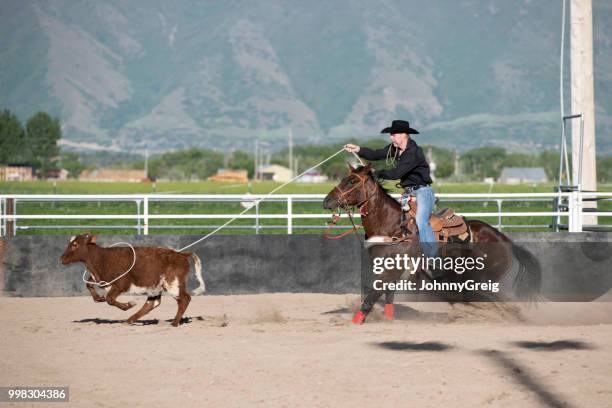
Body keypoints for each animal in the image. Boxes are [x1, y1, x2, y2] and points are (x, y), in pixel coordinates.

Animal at [61, 234, 207, 326]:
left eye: (74, 244)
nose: (61, 259)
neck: (102, 258)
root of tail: (181, 254)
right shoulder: (99, 280)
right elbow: (89, 285)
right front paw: (99, 298)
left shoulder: (120, 284)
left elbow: (110, 299)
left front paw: (128, 305)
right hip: (155, 287)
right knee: (152, 303)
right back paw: (129, 320)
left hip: (173, 285)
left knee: (184, 299)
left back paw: (174, 323)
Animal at [320, 164, 540, 324]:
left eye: (351, 181)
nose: (326, 201)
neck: (393, 226)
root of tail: (505, 241)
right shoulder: (389, 269)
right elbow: (387, 293)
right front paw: (388, 317)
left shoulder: (393, 269)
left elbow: (374, 292)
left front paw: (356, 319)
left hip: (480, 279)